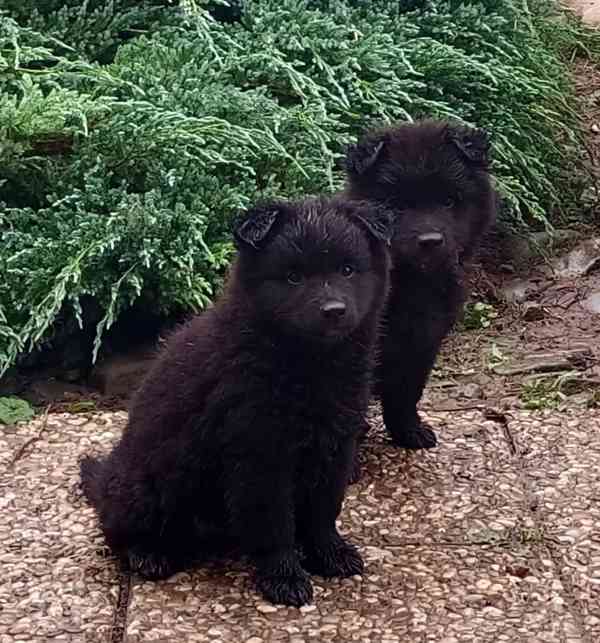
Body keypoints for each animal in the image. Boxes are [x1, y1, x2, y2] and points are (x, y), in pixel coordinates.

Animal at [79, 196, 392, 608]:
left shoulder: (335, 446)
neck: (308, 361)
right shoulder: (260, 454)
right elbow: (274, 523)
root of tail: (104, 482)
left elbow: (324, 509)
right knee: (116, 530)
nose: (334, 311)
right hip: (146, 488)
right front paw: (285, 577)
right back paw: (149, 554)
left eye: (347, 269)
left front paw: (330, 553)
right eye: (293, 277)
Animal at [344, 122, 494, 452]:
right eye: (396, 204)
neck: (412, 284)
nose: (430, 241)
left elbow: (406, 392)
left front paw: (410, 433)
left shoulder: (424, 343)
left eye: (448, 200)